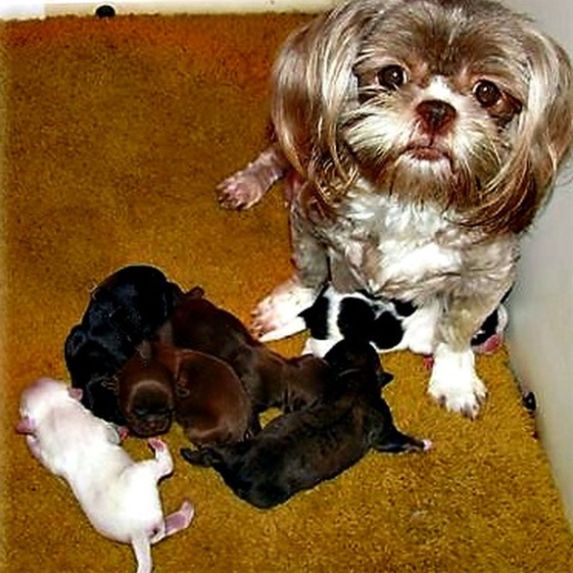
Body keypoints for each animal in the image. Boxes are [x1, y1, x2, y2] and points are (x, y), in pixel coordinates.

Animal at [16, 376, 194, 572]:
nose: (35, 381)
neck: (54, 410)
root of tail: (137, 532)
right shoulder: (98, 426)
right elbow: (113, 434)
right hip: (142, 474)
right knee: (165, 467)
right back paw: (158, 446)